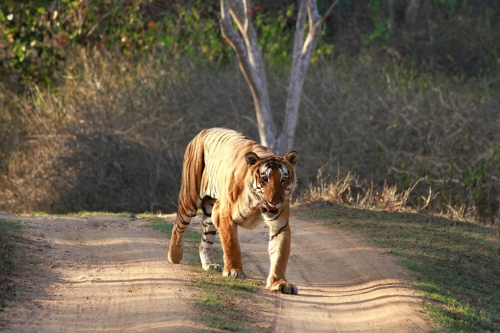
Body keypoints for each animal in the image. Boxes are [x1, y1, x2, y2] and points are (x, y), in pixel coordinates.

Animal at [168, 126, 300, 294]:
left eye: (283, 179)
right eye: (265, 179)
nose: (275, 202)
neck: (257, 204)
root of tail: (204, 130)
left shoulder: (280, 225)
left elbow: (280, 255)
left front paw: (280, 282)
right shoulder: (224, 214)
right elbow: (232, 245)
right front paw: (234, 271)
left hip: (210, 211)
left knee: (205, 240)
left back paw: (209, 265)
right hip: (190, 198)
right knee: (179, 225)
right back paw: (174, 255)